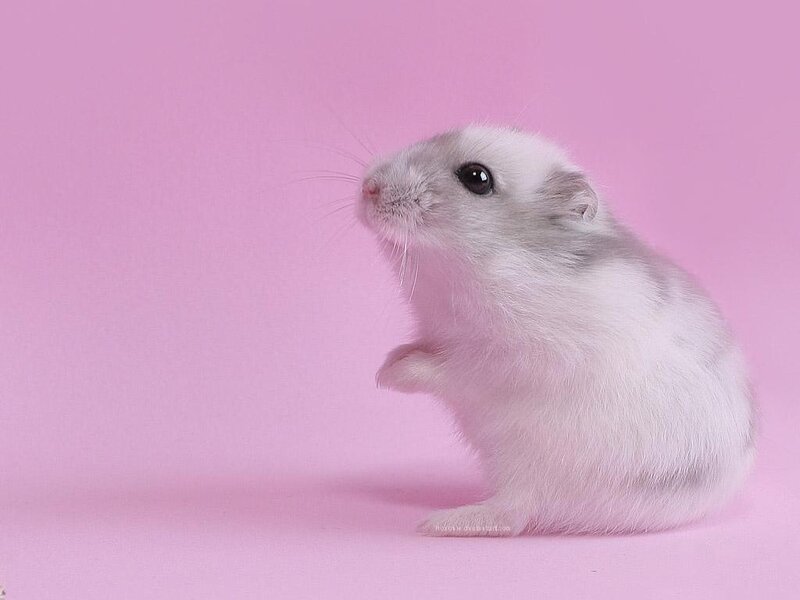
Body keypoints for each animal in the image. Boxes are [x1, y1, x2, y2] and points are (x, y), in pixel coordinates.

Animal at [357, 126, 755, 536]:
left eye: (476, 178)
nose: (368, 187)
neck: (494, 260)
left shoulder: (505, 360)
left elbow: (447, 369)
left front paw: (387, 376)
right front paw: (386, 362)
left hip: (536, 471)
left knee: (513, 514)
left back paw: (437, 523)